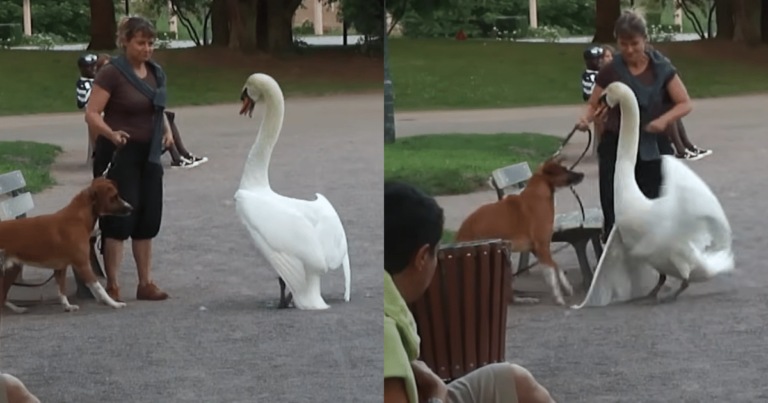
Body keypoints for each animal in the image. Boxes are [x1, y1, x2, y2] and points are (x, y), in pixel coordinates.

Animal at [0, 178, 132, 314]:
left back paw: (17, 309)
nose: (131, 208)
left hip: (12, 270)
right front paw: (114, 303)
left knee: (3, 297)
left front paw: (67, 306)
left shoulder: (60, 268)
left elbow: (62, 290)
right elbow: (99, 288)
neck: (78, 219)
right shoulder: (83, 265)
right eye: (114, 197)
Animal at [456, 158, 584, 306]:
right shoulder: (542, 246)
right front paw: (558, 297)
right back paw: (525, 299)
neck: (539, 192)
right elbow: (551, 272)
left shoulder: (537, 249)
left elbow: (556, 265)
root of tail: (460, 234)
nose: (582, 174)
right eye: (564, 169)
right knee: (507, 298)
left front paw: (566, 287)